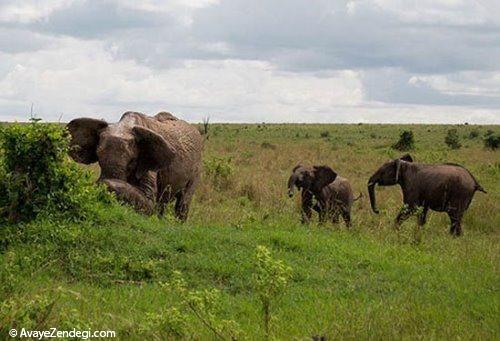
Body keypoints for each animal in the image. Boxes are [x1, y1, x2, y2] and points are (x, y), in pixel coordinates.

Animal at [67, 110, 203, 219]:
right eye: (98, 158)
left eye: (132, 162)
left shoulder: (148, 162)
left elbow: (149, 202)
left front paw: (106, 184)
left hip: (197, 167)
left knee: (183, 202)